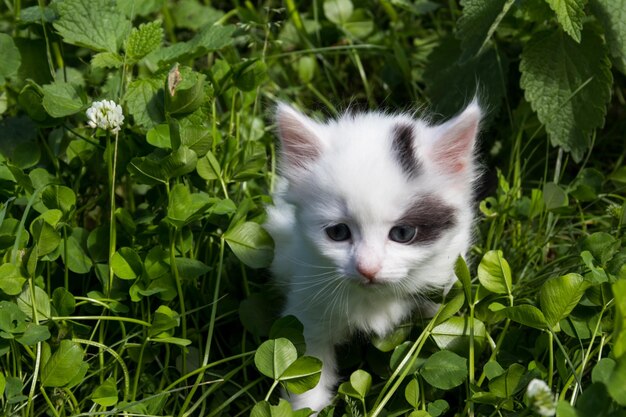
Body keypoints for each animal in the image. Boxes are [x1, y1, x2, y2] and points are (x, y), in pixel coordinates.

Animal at [262, 101, 478, 410]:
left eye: (403, 233)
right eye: (338, 232)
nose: (368, 269)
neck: (375, 299)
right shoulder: (307, 307)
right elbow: (307, 376)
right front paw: (305, 410)